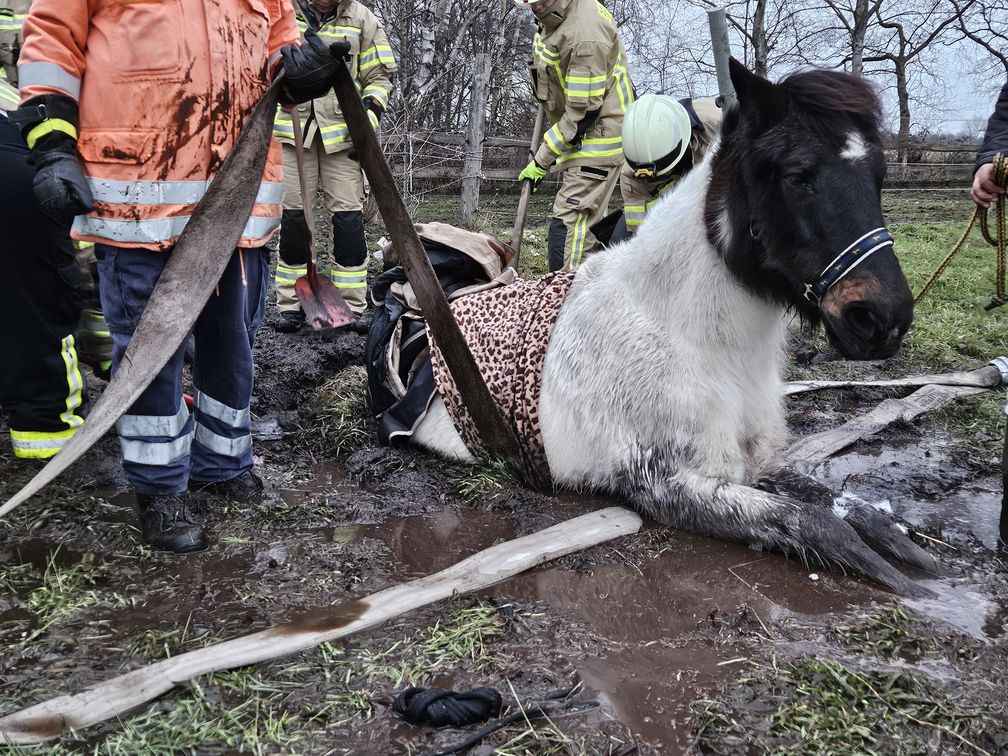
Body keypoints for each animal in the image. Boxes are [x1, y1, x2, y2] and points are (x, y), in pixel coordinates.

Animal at [411, 60, 927, 596]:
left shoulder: (755, 463)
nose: (881, 319)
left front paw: (909, 552)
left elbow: (849, 508)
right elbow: (812, 521)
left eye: (879, 177)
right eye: (797, 175)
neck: (688, 339)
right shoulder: (660, 482)